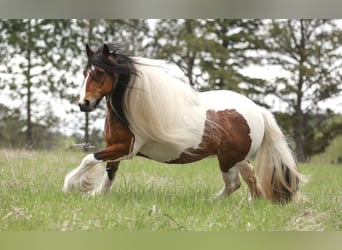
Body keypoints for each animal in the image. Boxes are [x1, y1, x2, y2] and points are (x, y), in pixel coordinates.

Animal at [62, 43, 306, 203]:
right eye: (84, 73)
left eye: (100, 72)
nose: (83, 104)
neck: (130, 110)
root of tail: (258, 110)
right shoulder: (116, 147)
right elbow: (109, 175)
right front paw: (94, 194)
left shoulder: (126, 149)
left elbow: (88, 158)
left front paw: (70, 185)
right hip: (238, 159)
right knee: (251, 179)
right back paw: (251, 204)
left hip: (228, 161)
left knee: (233, 184)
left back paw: (211, 201)